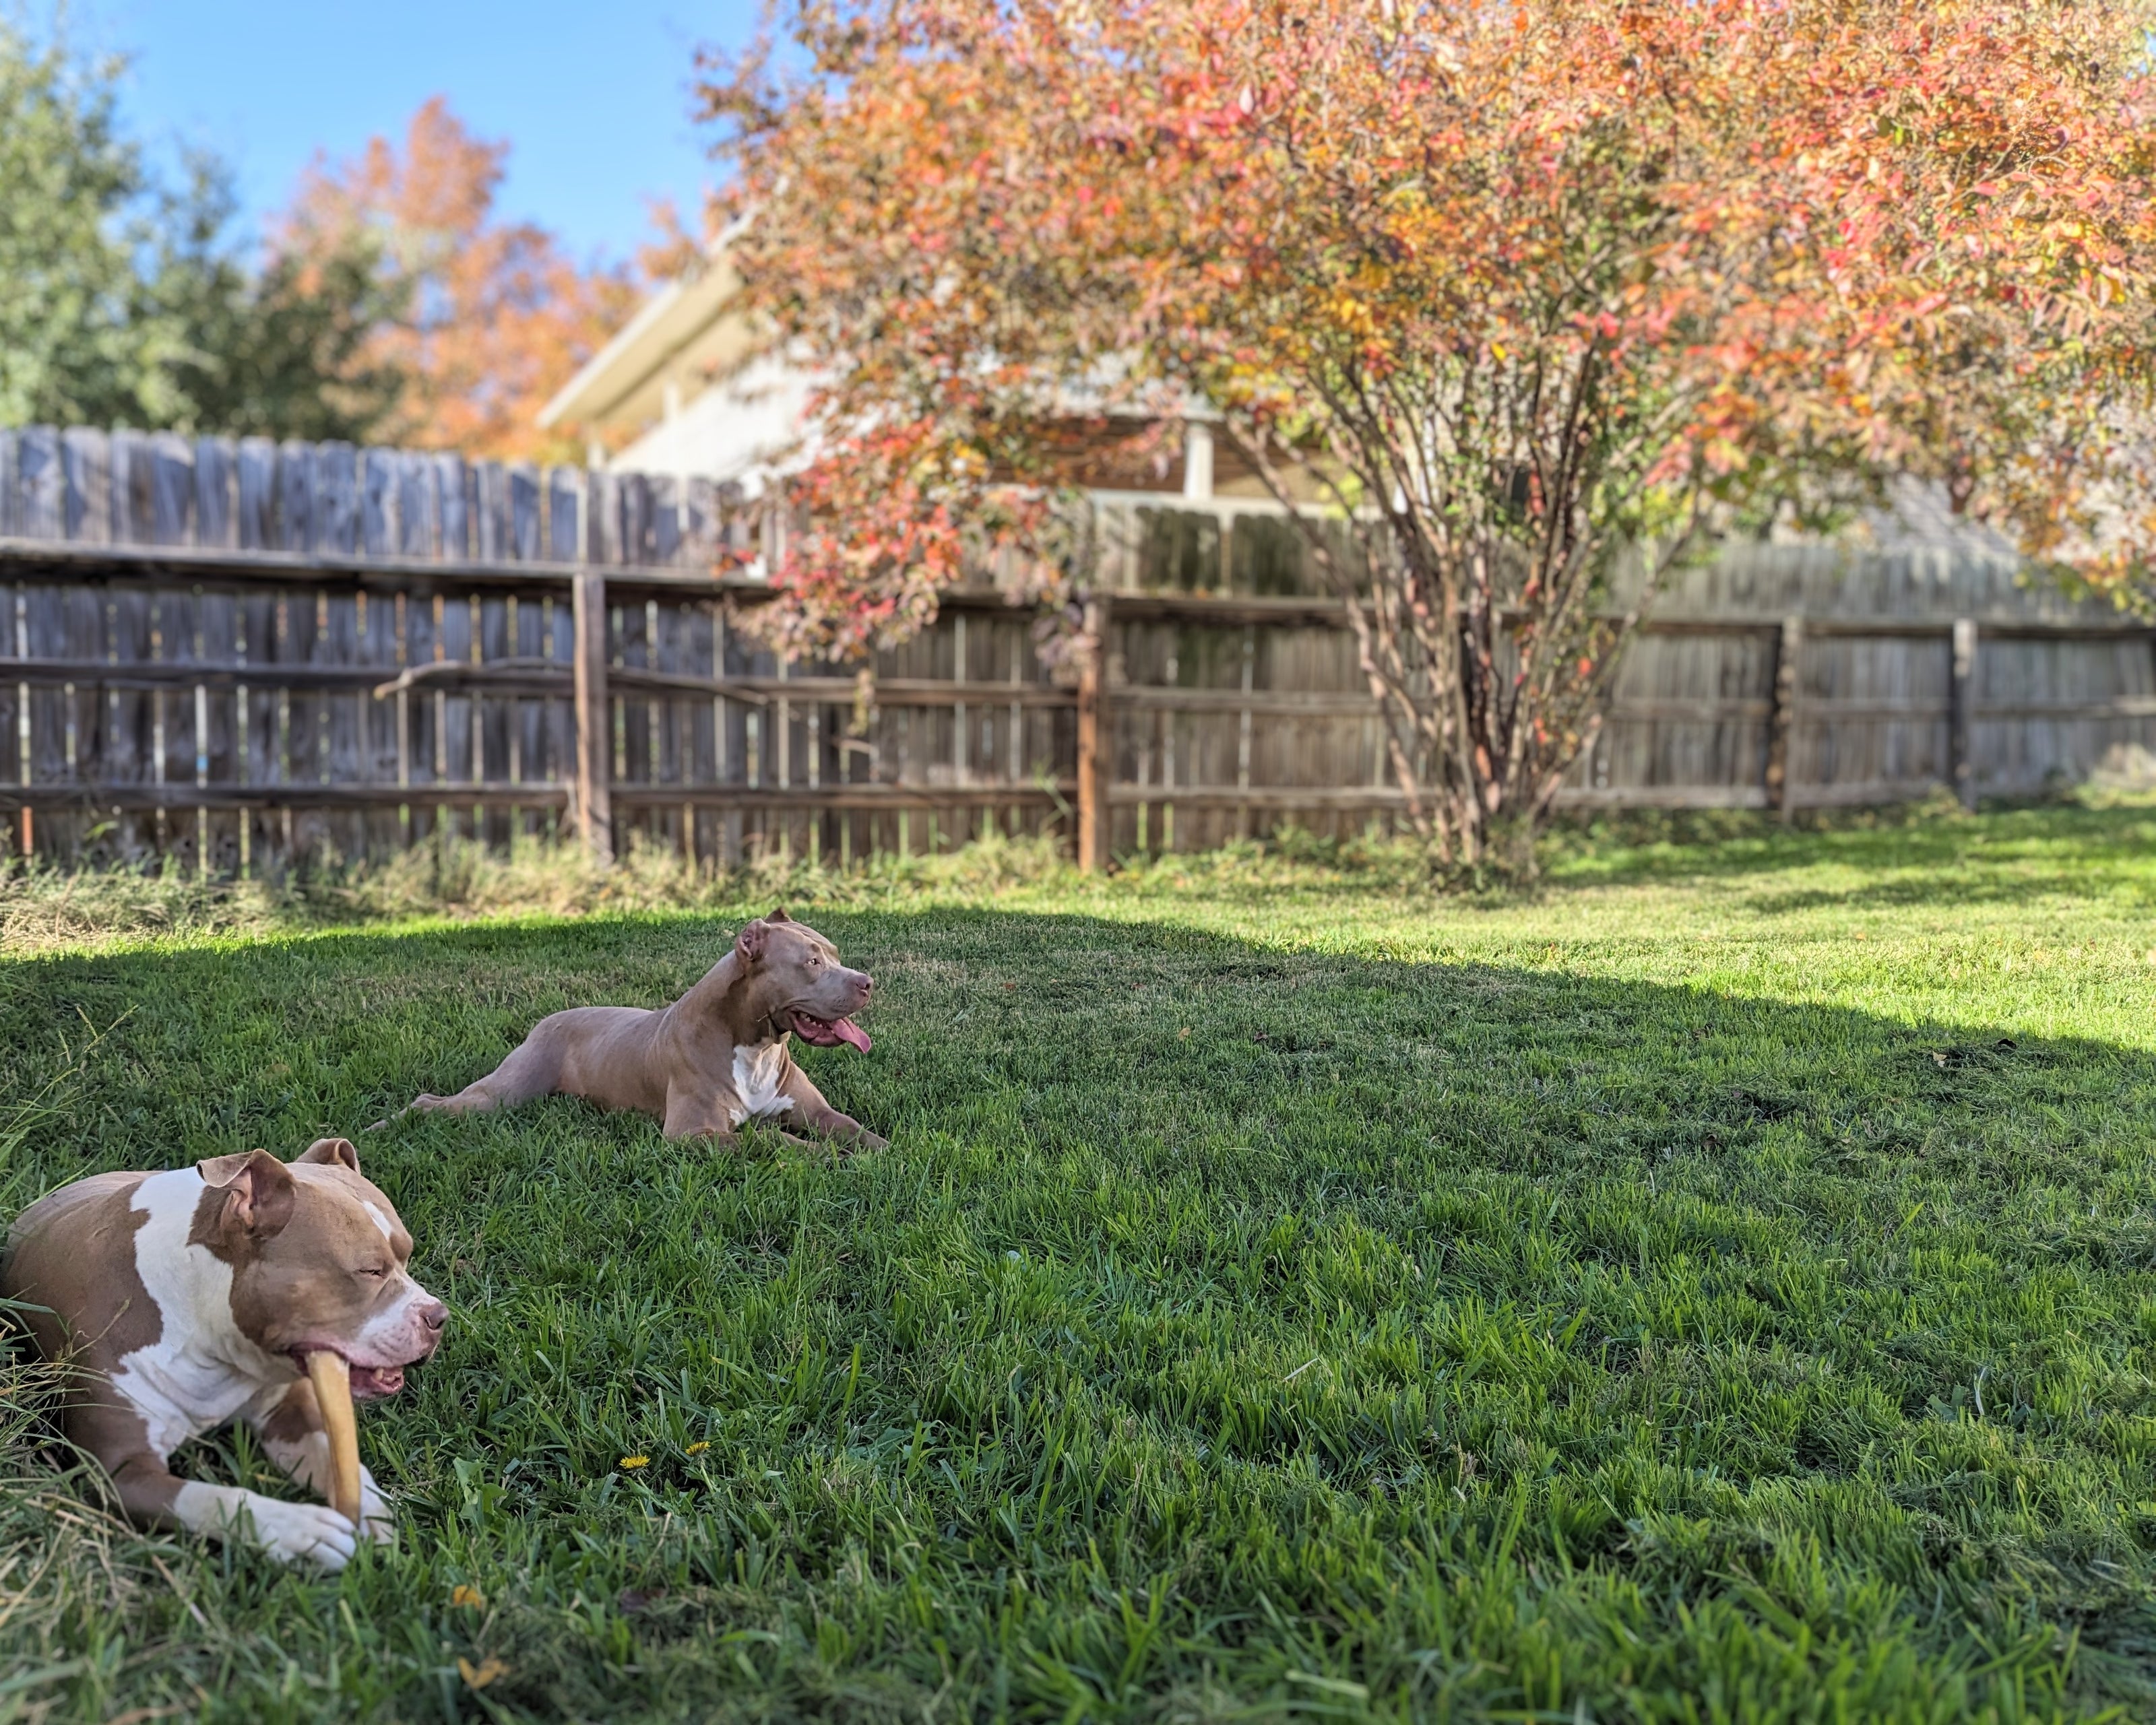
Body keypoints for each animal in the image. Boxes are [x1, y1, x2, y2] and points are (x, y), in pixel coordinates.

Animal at [1, 1138, 446, 1569]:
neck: (207, 1331)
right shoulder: (119, 1472)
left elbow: (331, 1455)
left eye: (407, 1256)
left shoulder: (288, 1414)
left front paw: (371, 1507)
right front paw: (299, 1530)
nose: (439, 1317)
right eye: (370, 1271)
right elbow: (212, 1498)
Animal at [388, 909, 884, 1155]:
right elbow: (768, 1138)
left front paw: (885, 1151)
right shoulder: (691, 1133)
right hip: (503, 1093)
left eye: (835, 955)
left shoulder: (818, 1113)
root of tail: (547, 1020)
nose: (867, 982)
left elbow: (852, 1128)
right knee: (433, 1102)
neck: (755, 1045)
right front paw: (824, 1155)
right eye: (812, 962)